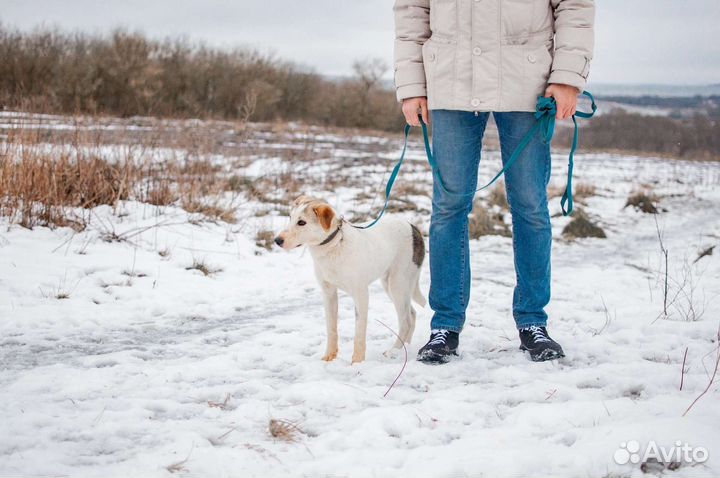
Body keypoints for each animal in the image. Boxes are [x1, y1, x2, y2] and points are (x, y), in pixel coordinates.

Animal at [274, 195, 422, 362]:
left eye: (301, 222)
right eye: (290, 217)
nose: (277, 240)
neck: (334, 245)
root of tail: (412, 226)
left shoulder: (361, 294)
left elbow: (359, 333)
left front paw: (357, 361)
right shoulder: (329, 294)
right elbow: (331, 328)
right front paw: (329, 356)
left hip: (398, 284)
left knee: (406, 321)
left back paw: (393, 351)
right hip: (390, 285)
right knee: (412, 314)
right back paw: (404, 349)